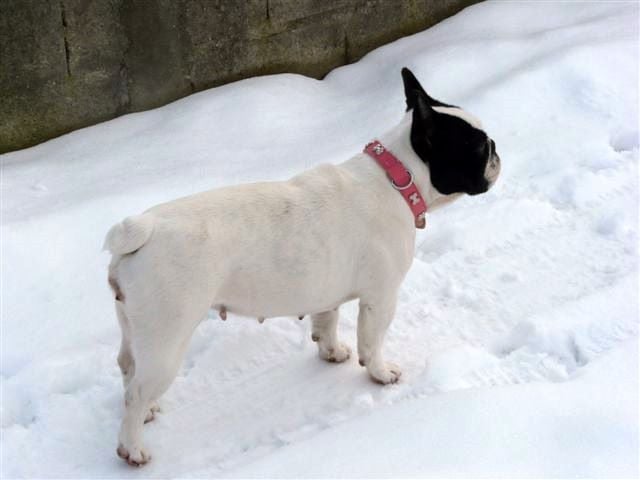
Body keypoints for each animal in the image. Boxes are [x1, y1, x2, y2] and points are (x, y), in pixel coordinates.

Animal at [104, 67, 500, 464]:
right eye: (479, 147)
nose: (497, 148)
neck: (398, 178)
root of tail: (142, 229)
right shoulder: (381, 297)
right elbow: (372, 342)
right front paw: (381, 374)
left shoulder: (327, 290)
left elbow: (326, 322)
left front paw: (332, 352)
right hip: (167, 338)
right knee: (137, 392)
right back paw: (133, 448)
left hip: (133, 325)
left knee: (128, 365)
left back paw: (148, 413)